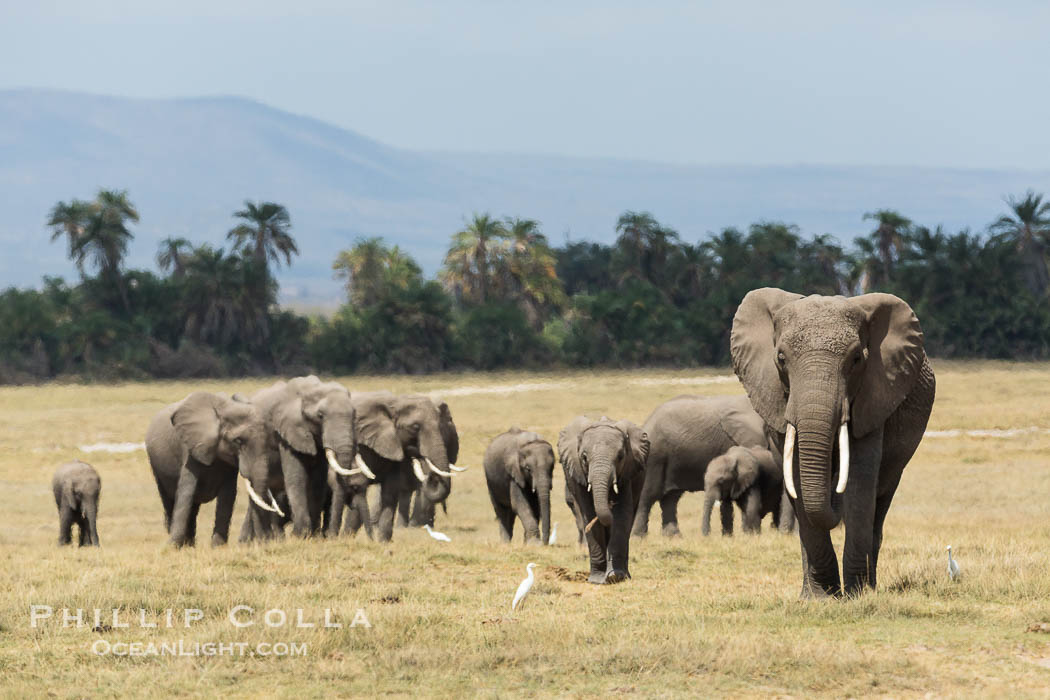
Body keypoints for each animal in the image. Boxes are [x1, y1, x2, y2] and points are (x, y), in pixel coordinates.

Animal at [146, 392, 272, 547]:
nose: (263, 542)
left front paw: (218, 547)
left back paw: (190, 545)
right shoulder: (190, 449)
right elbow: (186, 493)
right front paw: (172, 547)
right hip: (157, 468)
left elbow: (228, 496)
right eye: (237, 441)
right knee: (169, 501)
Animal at [237, 376, 361, 540]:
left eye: (354, 414)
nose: (331, 536)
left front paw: (313, 536)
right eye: (320, 416)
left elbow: (317, 482)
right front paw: (300, 535)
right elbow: (297, 477)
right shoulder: (287, 433)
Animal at [332, 392, 461, 542]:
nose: (431, 477)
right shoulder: (363, 444)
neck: (396, 403)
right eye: (415, 427)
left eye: (442, 427)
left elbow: (391, 488)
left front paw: (383, 541)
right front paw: (348, 538)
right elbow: (360, 484)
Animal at [558, 416, 649, 584]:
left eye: (620, 457)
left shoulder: (627, 471)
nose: (610, 503)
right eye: (584, 458)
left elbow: (622, 515)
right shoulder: (578, 474)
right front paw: (597, 579)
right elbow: (588, 512)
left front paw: (616, 577)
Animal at [731, 288, 935, 597]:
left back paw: (870, 586)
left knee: (881, 500)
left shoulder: (874, 396)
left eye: (856, 360)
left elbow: (860, 481)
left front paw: (855, 595)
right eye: (781, 358)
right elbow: (798, 480)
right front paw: (821, 598)